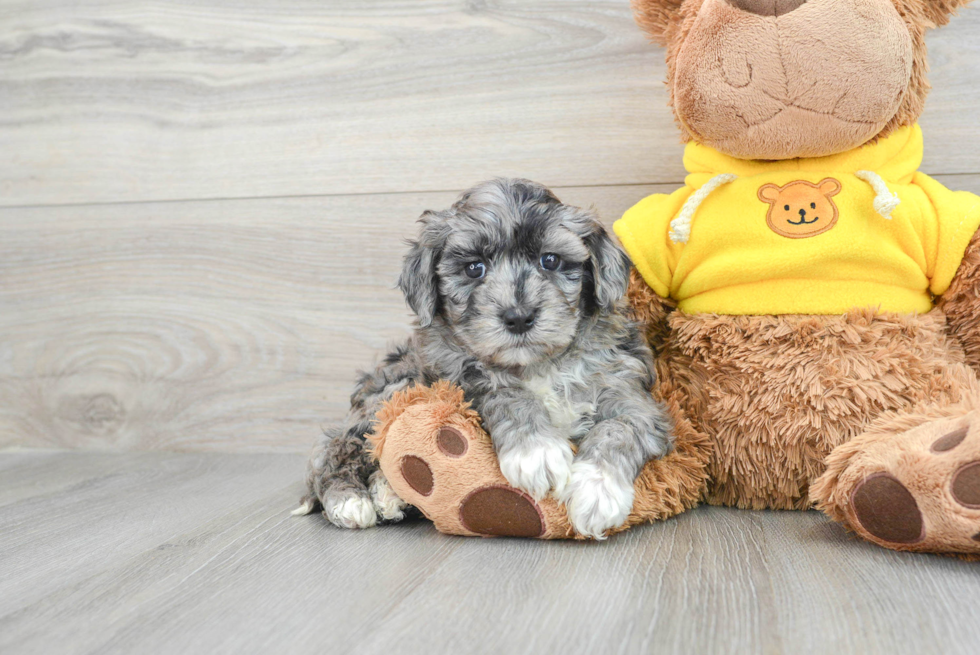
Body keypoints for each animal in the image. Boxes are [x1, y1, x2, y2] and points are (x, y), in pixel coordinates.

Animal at [296, 178, 672, 540]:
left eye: (550, 260)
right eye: (474, 268)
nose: (518, 317)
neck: (539, 364)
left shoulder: (631, 394)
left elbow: (619, 428)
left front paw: (596, 490)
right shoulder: (460, 380)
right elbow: (505, 394)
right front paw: (537, 451)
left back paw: (390, 495)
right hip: (393, 388)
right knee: (334, 448)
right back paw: (349, 500)